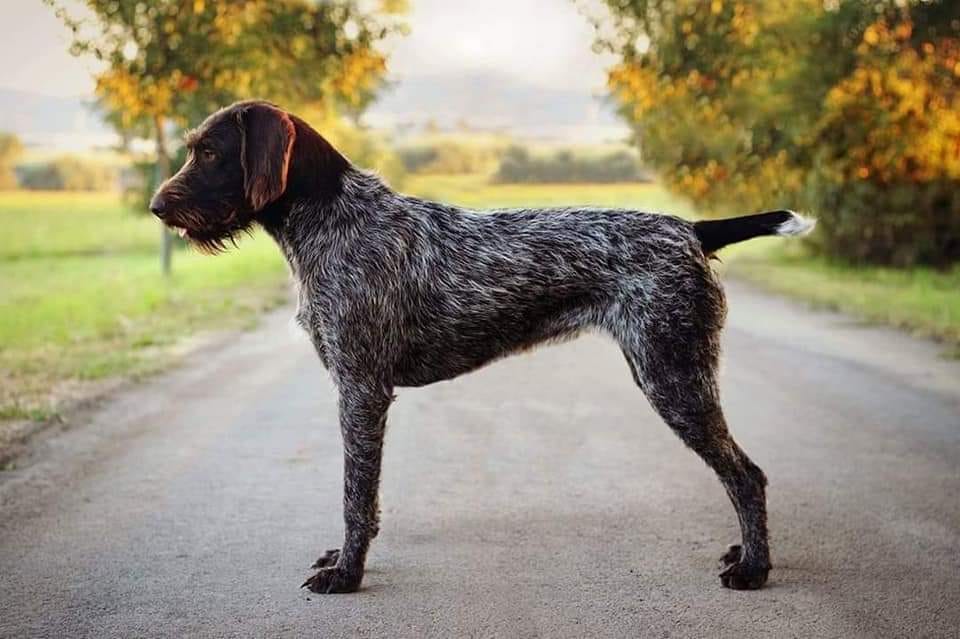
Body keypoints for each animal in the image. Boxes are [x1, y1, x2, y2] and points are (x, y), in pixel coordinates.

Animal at [152, 99, 816, 596]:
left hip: (673, 376)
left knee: (746, 475)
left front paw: (347, 574)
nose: (157, 207)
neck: (329, 218)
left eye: (209, 152)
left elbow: (354, 494)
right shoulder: (362, 392)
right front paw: (346, 558)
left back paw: (754, 568)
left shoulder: (360, 390)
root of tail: (690, 229)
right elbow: (366, 499)